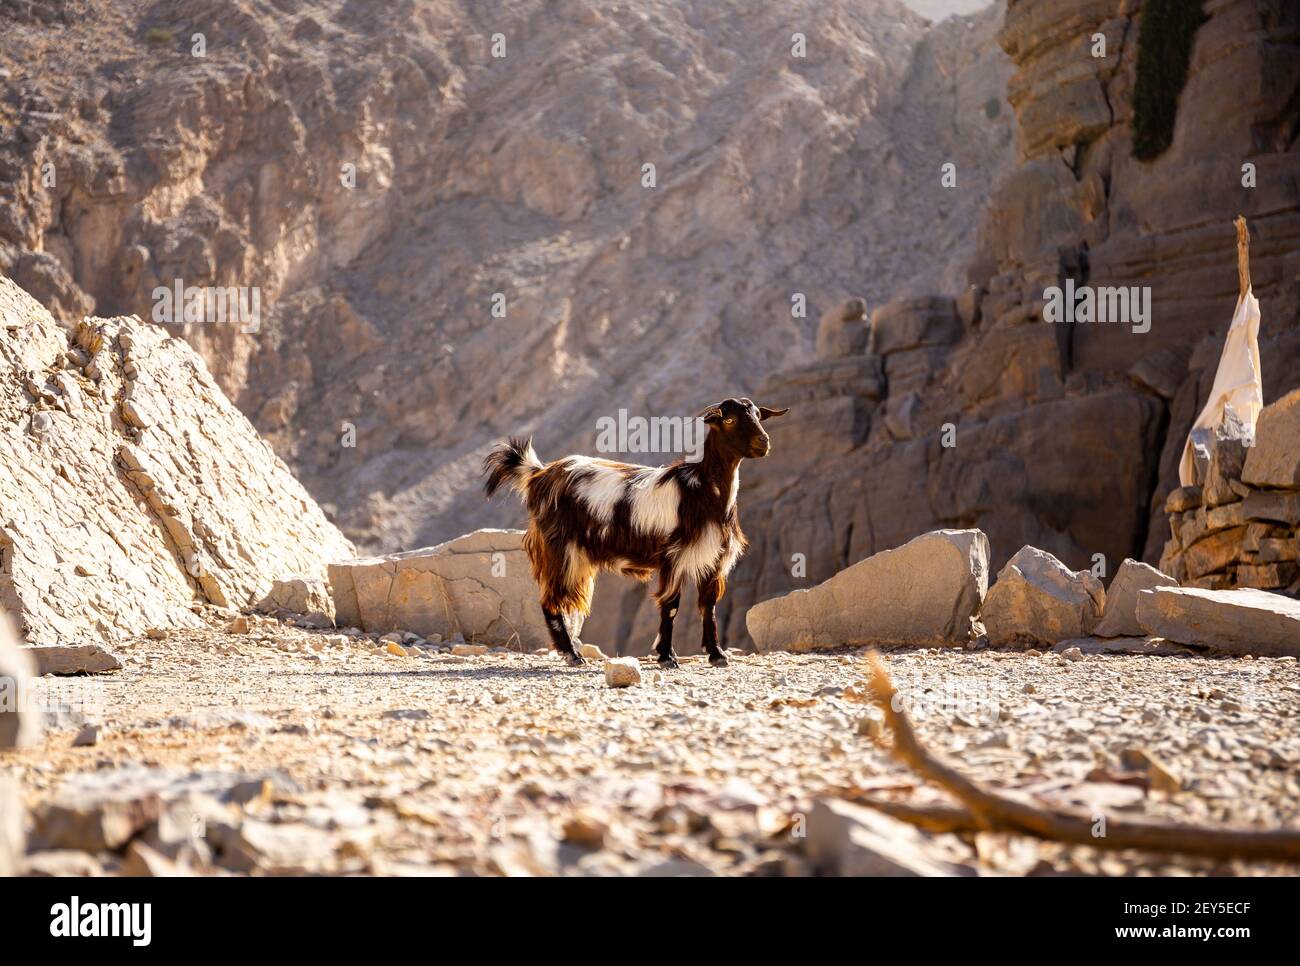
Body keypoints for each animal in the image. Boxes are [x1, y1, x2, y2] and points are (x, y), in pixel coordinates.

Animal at [483, 397, 785, 670]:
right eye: (729, 419)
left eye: (759, 415)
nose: (764, 443)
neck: (702, 492)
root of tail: (539, 474)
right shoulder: (674, 558)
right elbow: (671, 606)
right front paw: (667, 657)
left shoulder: (714, 560)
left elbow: (708, 607)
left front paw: (717, 655)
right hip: (560, 549)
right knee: (550, 601)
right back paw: (573, 655)